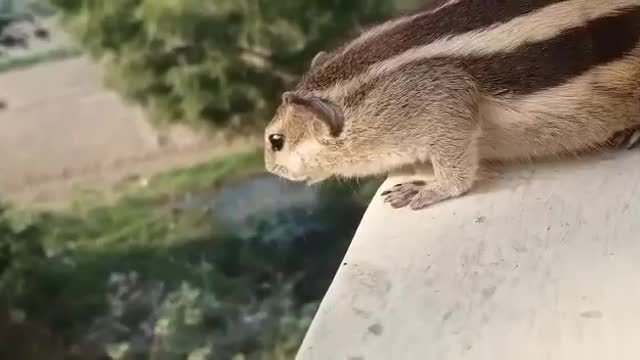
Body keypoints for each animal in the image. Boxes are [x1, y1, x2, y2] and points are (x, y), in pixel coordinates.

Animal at [262, 0, 640, 210]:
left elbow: (455, 161)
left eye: (275, 141)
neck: (357, 85)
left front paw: (430, 188)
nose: (269, 168)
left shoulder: (440, 98)